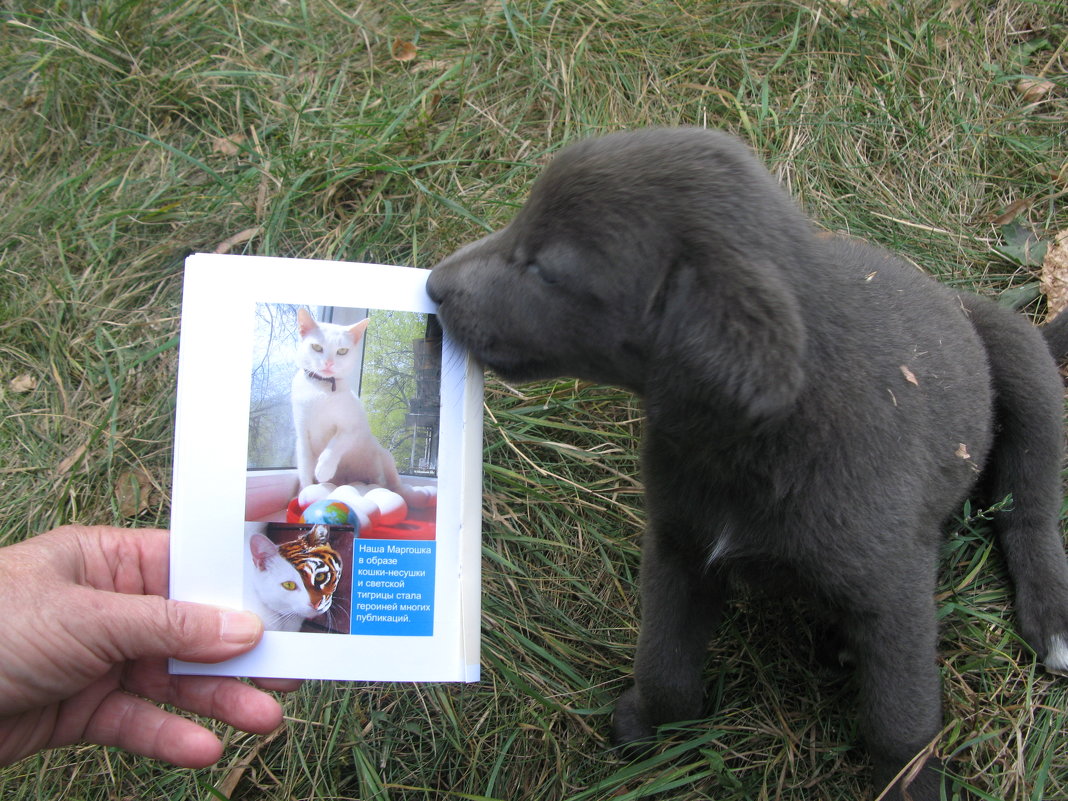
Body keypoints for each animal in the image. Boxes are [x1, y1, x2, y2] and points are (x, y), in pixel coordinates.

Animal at [294, 309, 422, 504]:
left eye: (342, 351)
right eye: (316, 347)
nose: (329, 363)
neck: (321, 390)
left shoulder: (352, 427)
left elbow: (335, 445)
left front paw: (323, 468)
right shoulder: (302, 435)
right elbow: (304, 467)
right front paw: (305, 490)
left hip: (385, 456)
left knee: (393, 483)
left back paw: (402, 492)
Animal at [425, 128, 1068, 798]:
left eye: (547, 271)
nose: (435, 285)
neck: (757, 447)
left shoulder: (895, 595)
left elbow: (901, 724)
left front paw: (909, 786)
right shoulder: (679, 545)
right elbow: (664, 660)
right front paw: (648, 721)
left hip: (1022, 364)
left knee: (1030, 508)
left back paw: (1051, 618)